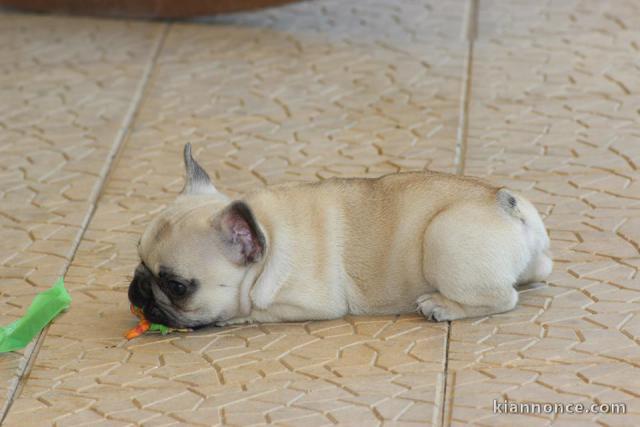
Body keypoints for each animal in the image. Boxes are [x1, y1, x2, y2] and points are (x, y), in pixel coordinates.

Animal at [129, 145, 552, 330]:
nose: (137, 286)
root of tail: (508, 204)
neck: (268, 233)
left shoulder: (307, 303)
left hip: (444, 239)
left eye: (177, 285)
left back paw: (442, 306)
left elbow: (252, 311)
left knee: (502, 298)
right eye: (138, 258)